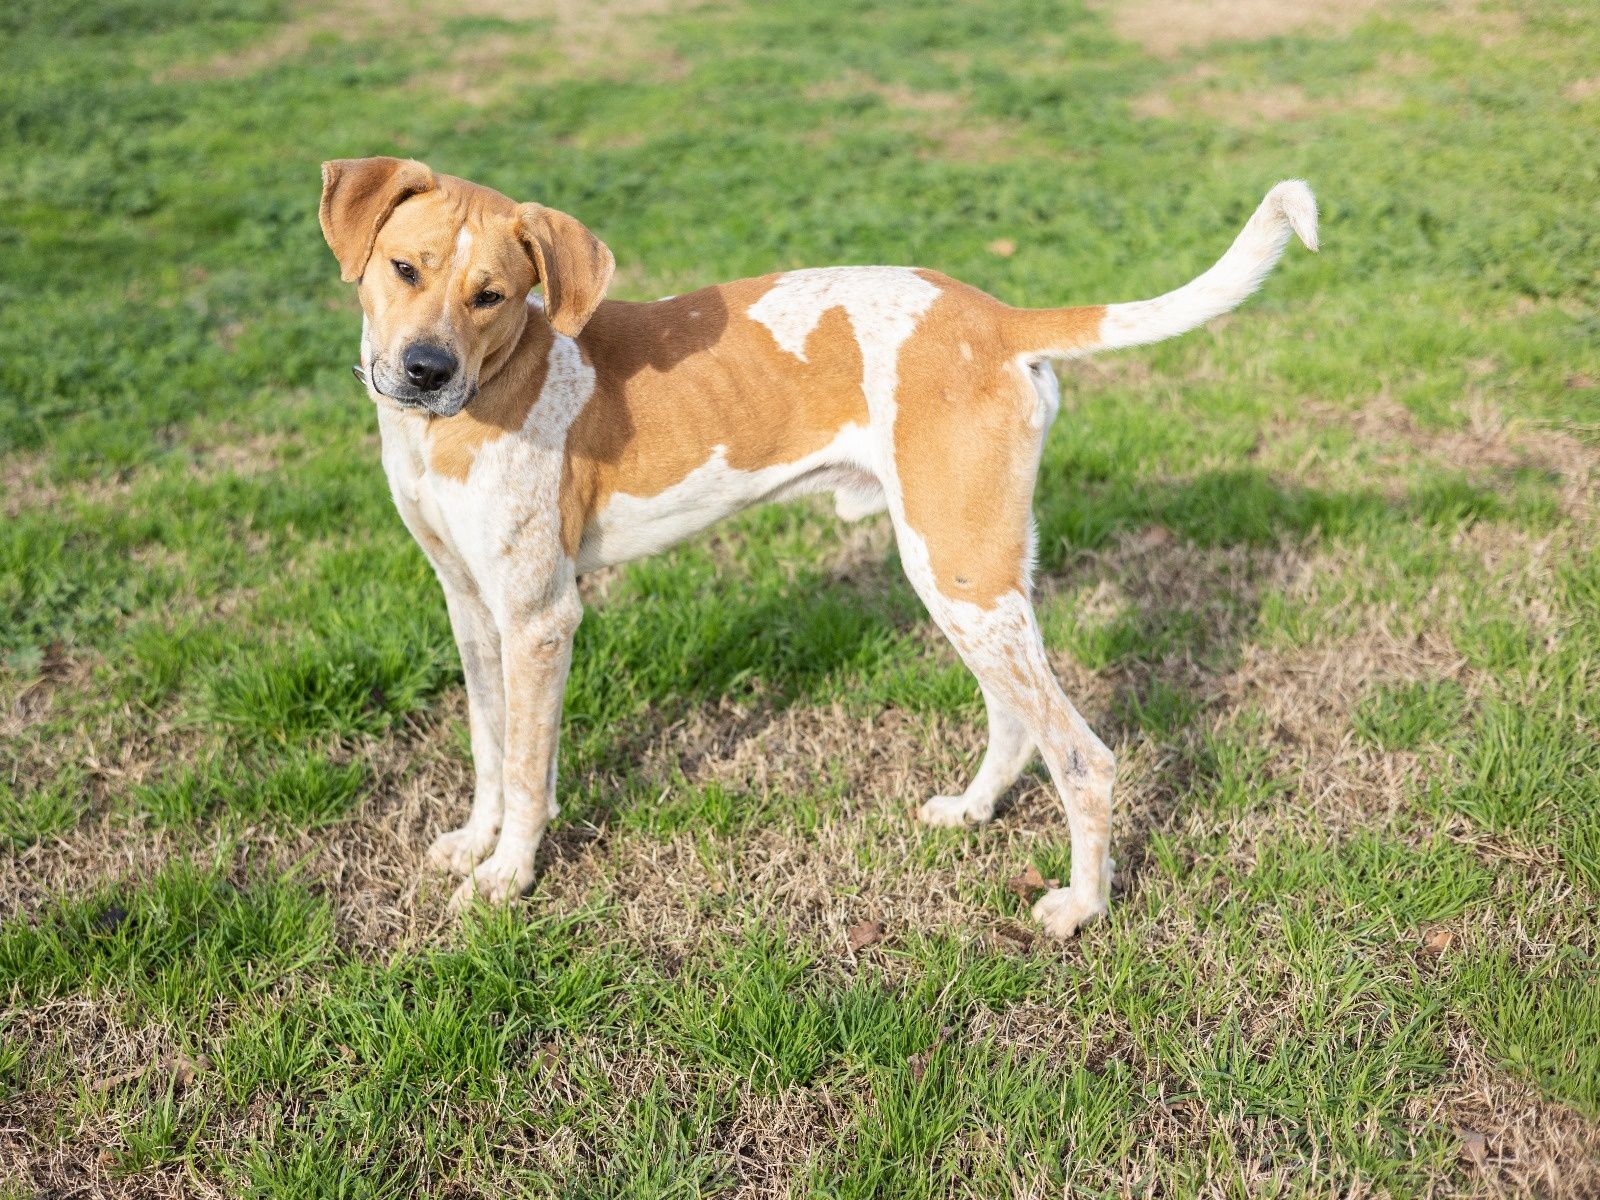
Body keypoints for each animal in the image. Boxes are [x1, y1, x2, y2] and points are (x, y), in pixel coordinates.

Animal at [318, 155, 1318, 934]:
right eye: (402, 269)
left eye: (490, 296)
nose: (425, 371)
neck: (484, 394)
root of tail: (995, 317)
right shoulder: (470, 607)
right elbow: (492, 749)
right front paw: (476, 843)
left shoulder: (538, 617)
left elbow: (527, 771)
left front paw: (508, 878)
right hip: (975, 579)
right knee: (1016, 719)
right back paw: (972, 810)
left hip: (958, 574)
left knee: (1083, 756)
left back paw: (1080, 907)